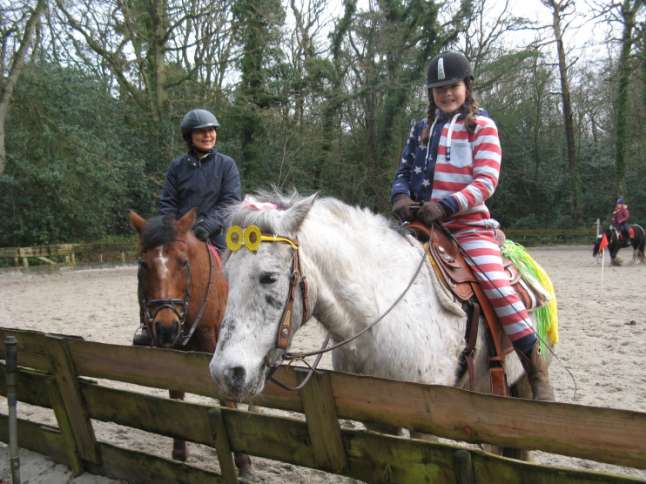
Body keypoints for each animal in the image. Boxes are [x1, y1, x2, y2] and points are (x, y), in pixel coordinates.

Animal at [129, 209, 251, 472]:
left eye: (183, 262)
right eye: (144, 264)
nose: (166, 326)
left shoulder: (211, 345)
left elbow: (225, 397)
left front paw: (243, 460)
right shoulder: (170, 351)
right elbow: (176, 393)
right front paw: (179, 452)